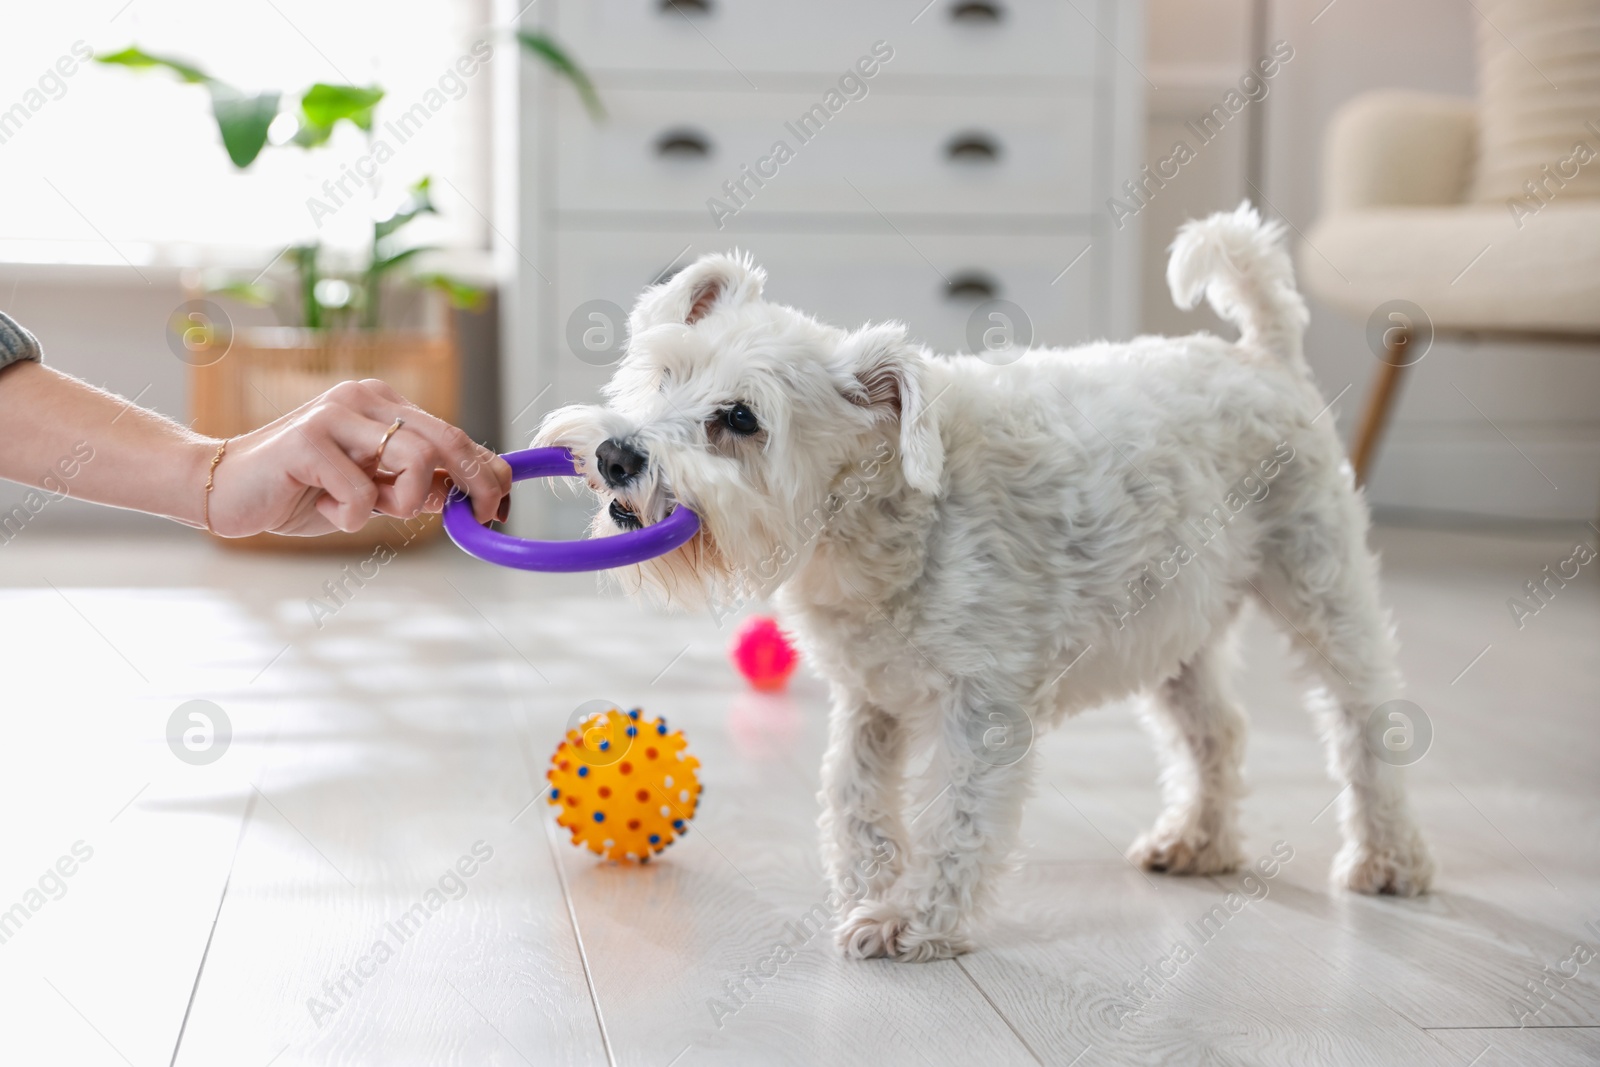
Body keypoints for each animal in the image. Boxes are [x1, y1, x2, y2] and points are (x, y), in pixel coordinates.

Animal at [540, 204, 1440, 966]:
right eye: (665, 372)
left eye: (740, 419)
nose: (617, 455)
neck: (882, 522)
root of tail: (1263, 353)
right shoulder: (868, 700)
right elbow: (854, 802)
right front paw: (868, 893)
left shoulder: (982, 707)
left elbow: (957, 818)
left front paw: (912, 922)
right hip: (1172, 631)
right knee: (1216, 732)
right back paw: (1199, 842)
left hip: (1321, 587)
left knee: (1364, 723)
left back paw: (1388, 858)